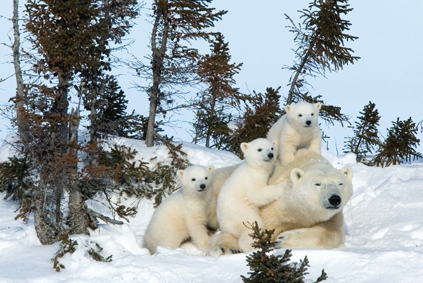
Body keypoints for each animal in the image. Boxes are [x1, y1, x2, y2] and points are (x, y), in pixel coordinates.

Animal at [210, 149, 352, 255]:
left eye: (340, 183)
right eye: (318, 183)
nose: (334, 199)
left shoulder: (332, 216)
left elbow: (332, 233)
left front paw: (282, 239)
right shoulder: (273, 207)